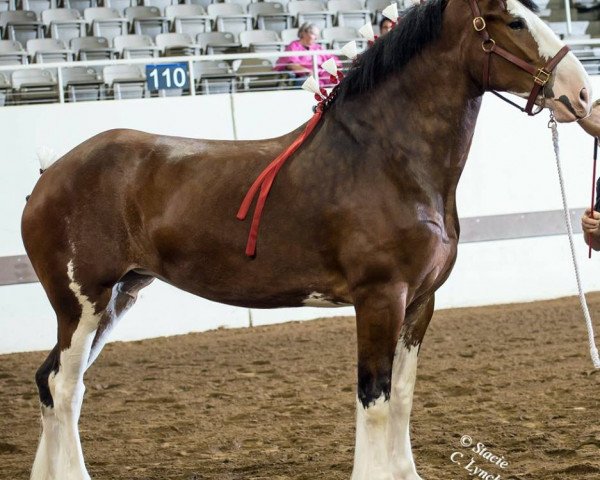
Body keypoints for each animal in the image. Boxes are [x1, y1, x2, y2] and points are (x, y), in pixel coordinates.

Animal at [21, 0, 592, 478]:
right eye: (513, 21)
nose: (583, 93)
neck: (389, 161)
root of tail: (50, 172)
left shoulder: (420, 302)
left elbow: (403, 397)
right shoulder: (380, 297)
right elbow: (375, 399)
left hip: (120, 297)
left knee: (53, 384)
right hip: (84, 303)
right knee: (64, 387)